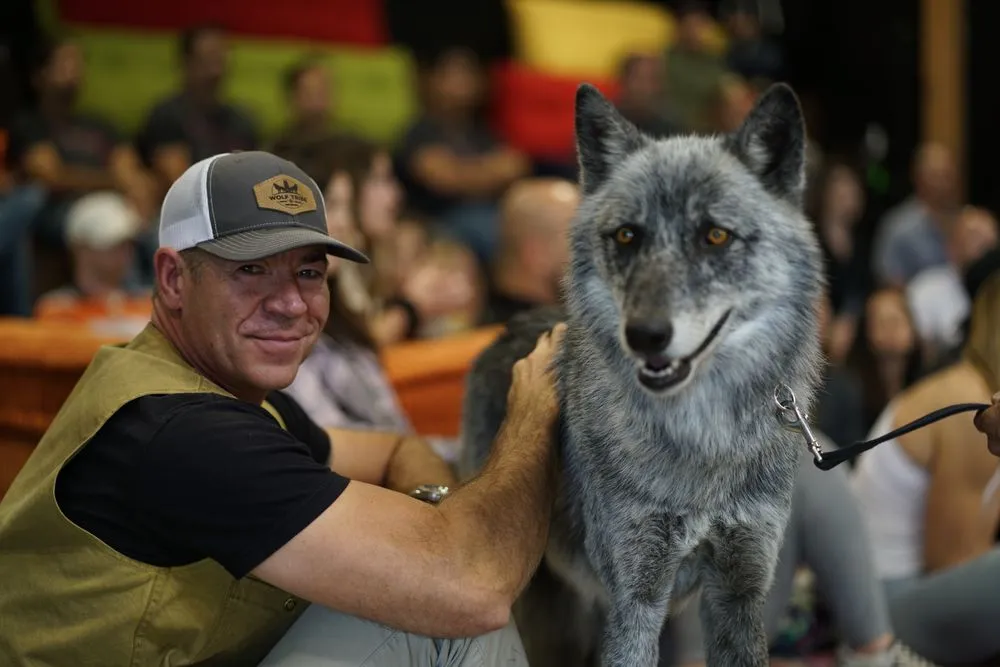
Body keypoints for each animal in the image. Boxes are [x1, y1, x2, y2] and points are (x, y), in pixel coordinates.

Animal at [457, 82, 824, 667]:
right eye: (628, 236)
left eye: (715, 236)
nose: (645, 335)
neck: (703, 446)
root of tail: (506, 326)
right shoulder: (635, 601)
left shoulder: (738, 593)